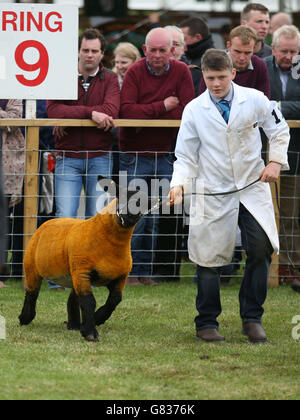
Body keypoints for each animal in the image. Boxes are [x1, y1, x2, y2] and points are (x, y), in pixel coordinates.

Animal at [18, 178, 147, 342]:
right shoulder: (83, 270)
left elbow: (115, 299)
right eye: (121, 197)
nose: (128, 218)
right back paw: (25, 318)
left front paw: (97, 318)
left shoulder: (119, 277)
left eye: (142, 203)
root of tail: (48, 222)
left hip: (73, 273)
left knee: (73, 298)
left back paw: (73, 325)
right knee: (31, 293)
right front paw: (91, 333)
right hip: (32, 267)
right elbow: (89, 301)